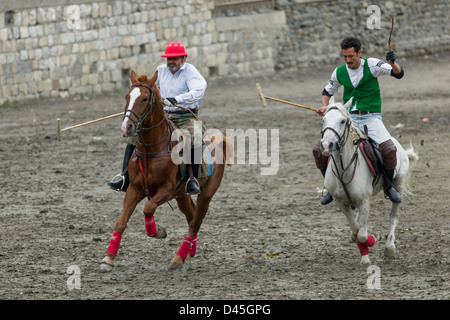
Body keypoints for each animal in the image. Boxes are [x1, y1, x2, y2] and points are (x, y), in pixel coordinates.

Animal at [100, 70, 234, 272]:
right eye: (127, 96)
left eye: (145, 98)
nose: (126, 127)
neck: (152, 149)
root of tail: (217, 140)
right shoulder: (134, 189)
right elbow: (121, 221)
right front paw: (108, 258)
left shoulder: (167, 189)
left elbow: (148, 208)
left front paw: (158, 232)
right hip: (182, 196)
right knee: (191, 216)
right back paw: (190, 251)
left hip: (206, 193)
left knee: (195, 222)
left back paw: (178, 258)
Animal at [320, 100, 418, 268]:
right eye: (324, 120)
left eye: (342, 121)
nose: (327, 145)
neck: (343, 169)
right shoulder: (340, 202)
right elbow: (355, 229)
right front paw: (364, 251)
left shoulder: (364, 200)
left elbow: (363, 236)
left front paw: (372, 242)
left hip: (398, 183)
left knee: (394, 215)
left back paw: (389, 246)